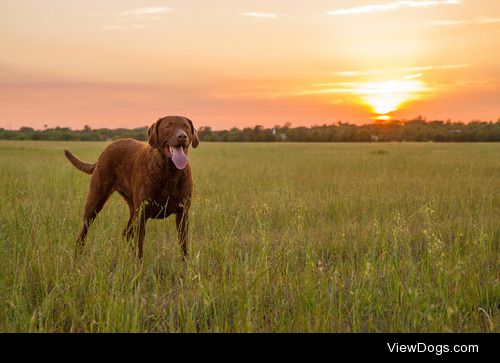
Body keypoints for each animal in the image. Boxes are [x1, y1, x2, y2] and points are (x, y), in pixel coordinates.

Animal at [65, 115, 199, 260]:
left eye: (186, 126)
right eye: (169, 125)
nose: (182, 136)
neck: (170, 172)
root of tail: (105, 150)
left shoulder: (182, 213)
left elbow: (183, 246)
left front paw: (185, 266)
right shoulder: (142, 214)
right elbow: (140, 247)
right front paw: (138, 265)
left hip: (132, 210)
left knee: (126, 233)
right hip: (95, 201)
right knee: (83, 232)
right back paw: (77, 256)